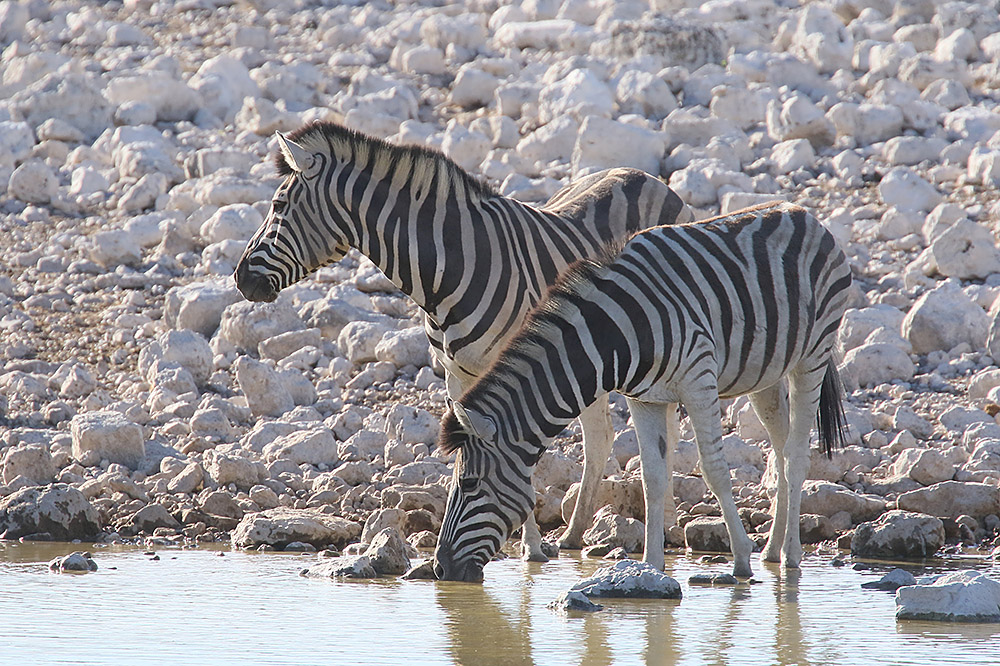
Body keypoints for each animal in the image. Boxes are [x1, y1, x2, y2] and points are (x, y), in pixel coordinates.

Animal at [231, 120, 692, 560]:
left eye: (277, 206)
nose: (239, 278)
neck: (447, 269)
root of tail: (643, 176)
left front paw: (530, 548)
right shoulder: (456, 374)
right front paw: (522, 541)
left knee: (656, 429)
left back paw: (664, 522)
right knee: (604, 437)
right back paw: (577, 534)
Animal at [434, 202, 848, 580]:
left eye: (469, 484)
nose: (441, 569)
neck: (614, 335)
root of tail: (803, 214)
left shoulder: (699, 379)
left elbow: (714, 470)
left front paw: (741, 559)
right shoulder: (644, 399)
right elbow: (652, 477)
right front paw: (651, 564)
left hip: (812, 356)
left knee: (796, 456)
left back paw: (790, 556)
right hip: (765, 373)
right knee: (779, 448)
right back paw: (773, 550)